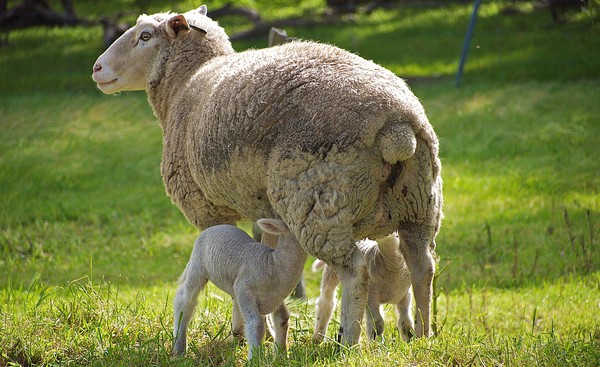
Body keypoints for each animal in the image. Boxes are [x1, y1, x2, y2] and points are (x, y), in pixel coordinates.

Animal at [91, 4, 442, 344]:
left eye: (145, 35)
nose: (96, 68)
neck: (186, 82)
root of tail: (397, 127)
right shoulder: (267, 210)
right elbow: (263, 252)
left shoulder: (205, 207)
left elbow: (227, 252)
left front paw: (238, 332)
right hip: (419, 202)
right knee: (422, 266)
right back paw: (424, 335)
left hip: (317, 202)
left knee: (355, 270)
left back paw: (348, 341)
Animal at [172, 218, 304, 360]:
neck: (273, 264)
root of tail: (214, 227)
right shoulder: (243, 290)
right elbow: (256, 324)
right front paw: (254, 359)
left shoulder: (276, 298)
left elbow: (283, 319)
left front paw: (281, 356)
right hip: (198, 265)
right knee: (185, 300)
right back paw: (179, 348)